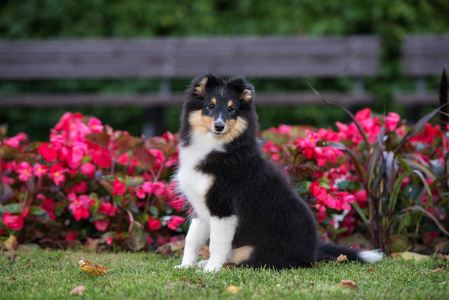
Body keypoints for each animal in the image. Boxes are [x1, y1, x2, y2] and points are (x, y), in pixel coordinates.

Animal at [175, 73, 382, 272]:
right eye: (210, 106)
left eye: (231, 109)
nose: (219, 126)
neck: (217, 147)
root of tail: (312, 254)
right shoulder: (201, 209)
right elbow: (191, 239)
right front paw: (185, 266)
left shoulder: (223, 209)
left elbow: (217, 244)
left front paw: (211, 271)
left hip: (250, 250)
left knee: (246, 263)